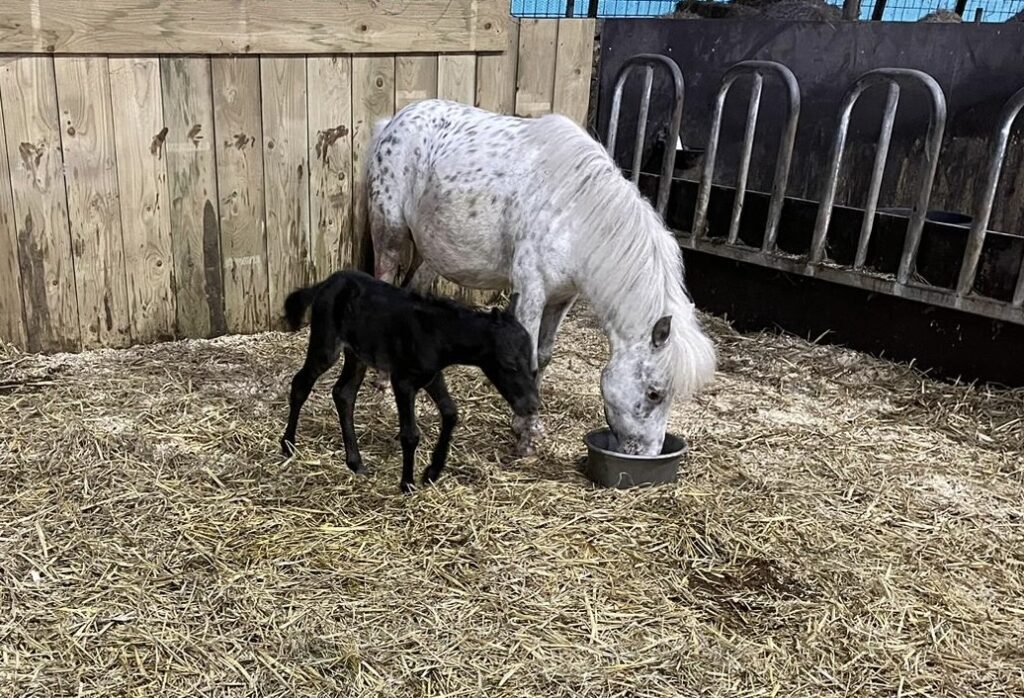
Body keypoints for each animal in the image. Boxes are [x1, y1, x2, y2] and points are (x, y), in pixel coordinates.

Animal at [276, 268, 540, 491]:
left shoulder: (431, 376)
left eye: (532, 362)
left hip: (358, 354)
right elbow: (410, 433)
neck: (438, 334)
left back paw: (355, 462)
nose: (532, 405)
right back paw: (288, 445)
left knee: (343, 393)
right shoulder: (403, 381)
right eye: (509, 365)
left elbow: (451, 413)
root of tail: (327, 282)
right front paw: (408, 483)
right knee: (301, 384)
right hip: (326, 345)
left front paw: (432, 472)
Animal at [366, 97, 712, 456]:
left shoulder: (562, 298)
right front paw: (525, 437)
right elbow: (529, 358)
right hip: (390, 234)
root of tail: (395, 120)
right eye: (654, 393)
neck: (574, 213)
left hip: (432, 253)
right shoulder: (532, 290)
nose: (649, 454)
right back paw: (383, 382)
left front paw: (528, 425)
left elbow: (544, 357)